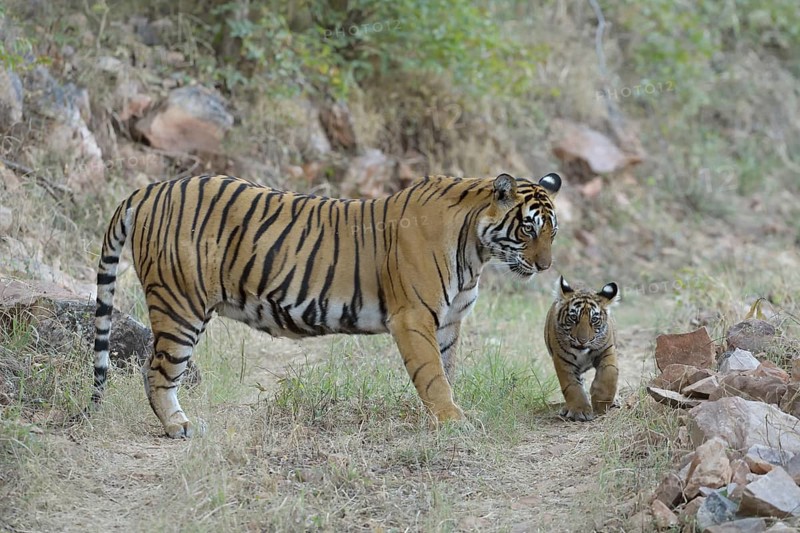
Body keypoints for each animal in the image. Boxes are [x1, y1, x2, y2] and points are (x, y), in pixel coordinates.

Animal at [92, 171, 561, 438]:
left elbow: (446, 370)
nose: (545, 266)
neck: (476, 251)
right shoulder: (414, 319)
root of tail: (151, 188)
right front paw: (452, 421)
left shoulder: (448, 323)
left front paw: (447, 414)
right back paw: (177, 426)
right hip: (180, 306)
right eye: (528, 228)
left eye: (552, 232)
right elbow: (433, 377)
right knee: (157, 371)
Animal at [544, 275, 619, 421]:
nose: (582, 341)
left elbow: (609, 372)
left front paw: (601, 403)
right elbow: (571, 386)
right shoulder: (562, 360)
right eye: (573, 317)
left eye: (594, 319)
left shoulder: (607, 349)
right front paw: (580, 411)